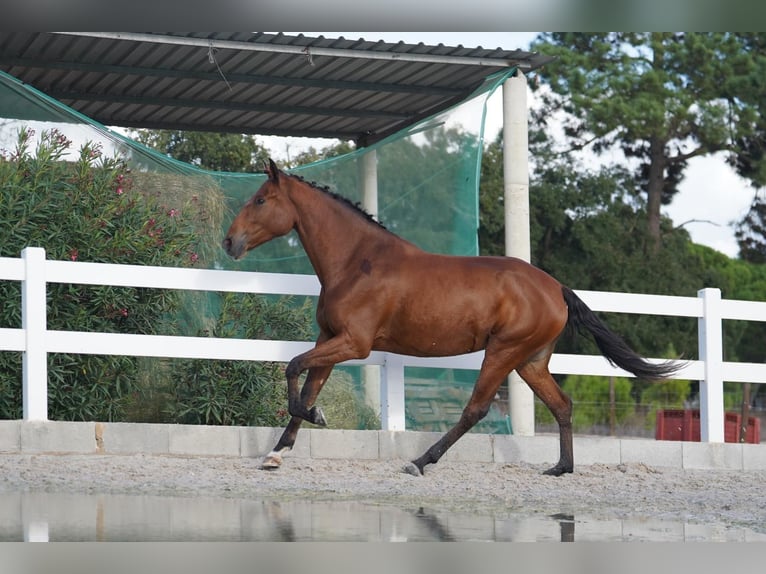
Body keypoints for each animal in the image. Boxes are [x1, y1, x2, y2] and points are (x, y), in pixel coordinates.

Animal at [224, 160, 684, 480]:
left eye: (261, 199)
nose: (230, 242)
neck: (358, 262)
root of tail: (556, 288)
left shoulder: (355, 343)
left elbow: (293, 368)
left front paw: (312, 419)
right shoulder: (330, 338)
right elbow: (308, 384)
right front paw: (277, 452)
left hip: (503, 352)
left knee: (475, 410)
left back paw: (419, 461)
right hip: (530, 361)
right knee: (562, 405)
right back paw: (560, 468)